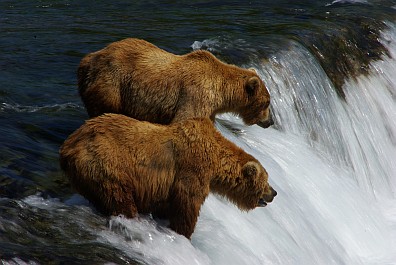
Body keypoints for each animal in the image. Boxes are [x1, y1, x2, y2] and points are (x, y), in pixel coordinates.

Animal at [58, 113, 276, 237]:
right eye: (265, 181)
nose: (274, 193)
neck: (214, 160)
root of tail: (69, 145)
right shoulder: (192, 169)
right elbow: (187, 205)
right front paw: (183, 233)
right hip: (106, 163)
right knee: (120, 198)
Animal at [78, 37, 274, 127]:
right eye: (267, 103)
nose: (270, 121)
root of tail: (88, 58)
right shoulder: (196, 95)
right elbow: (186, 119)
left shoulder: (209, 108)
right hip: (112, 83)